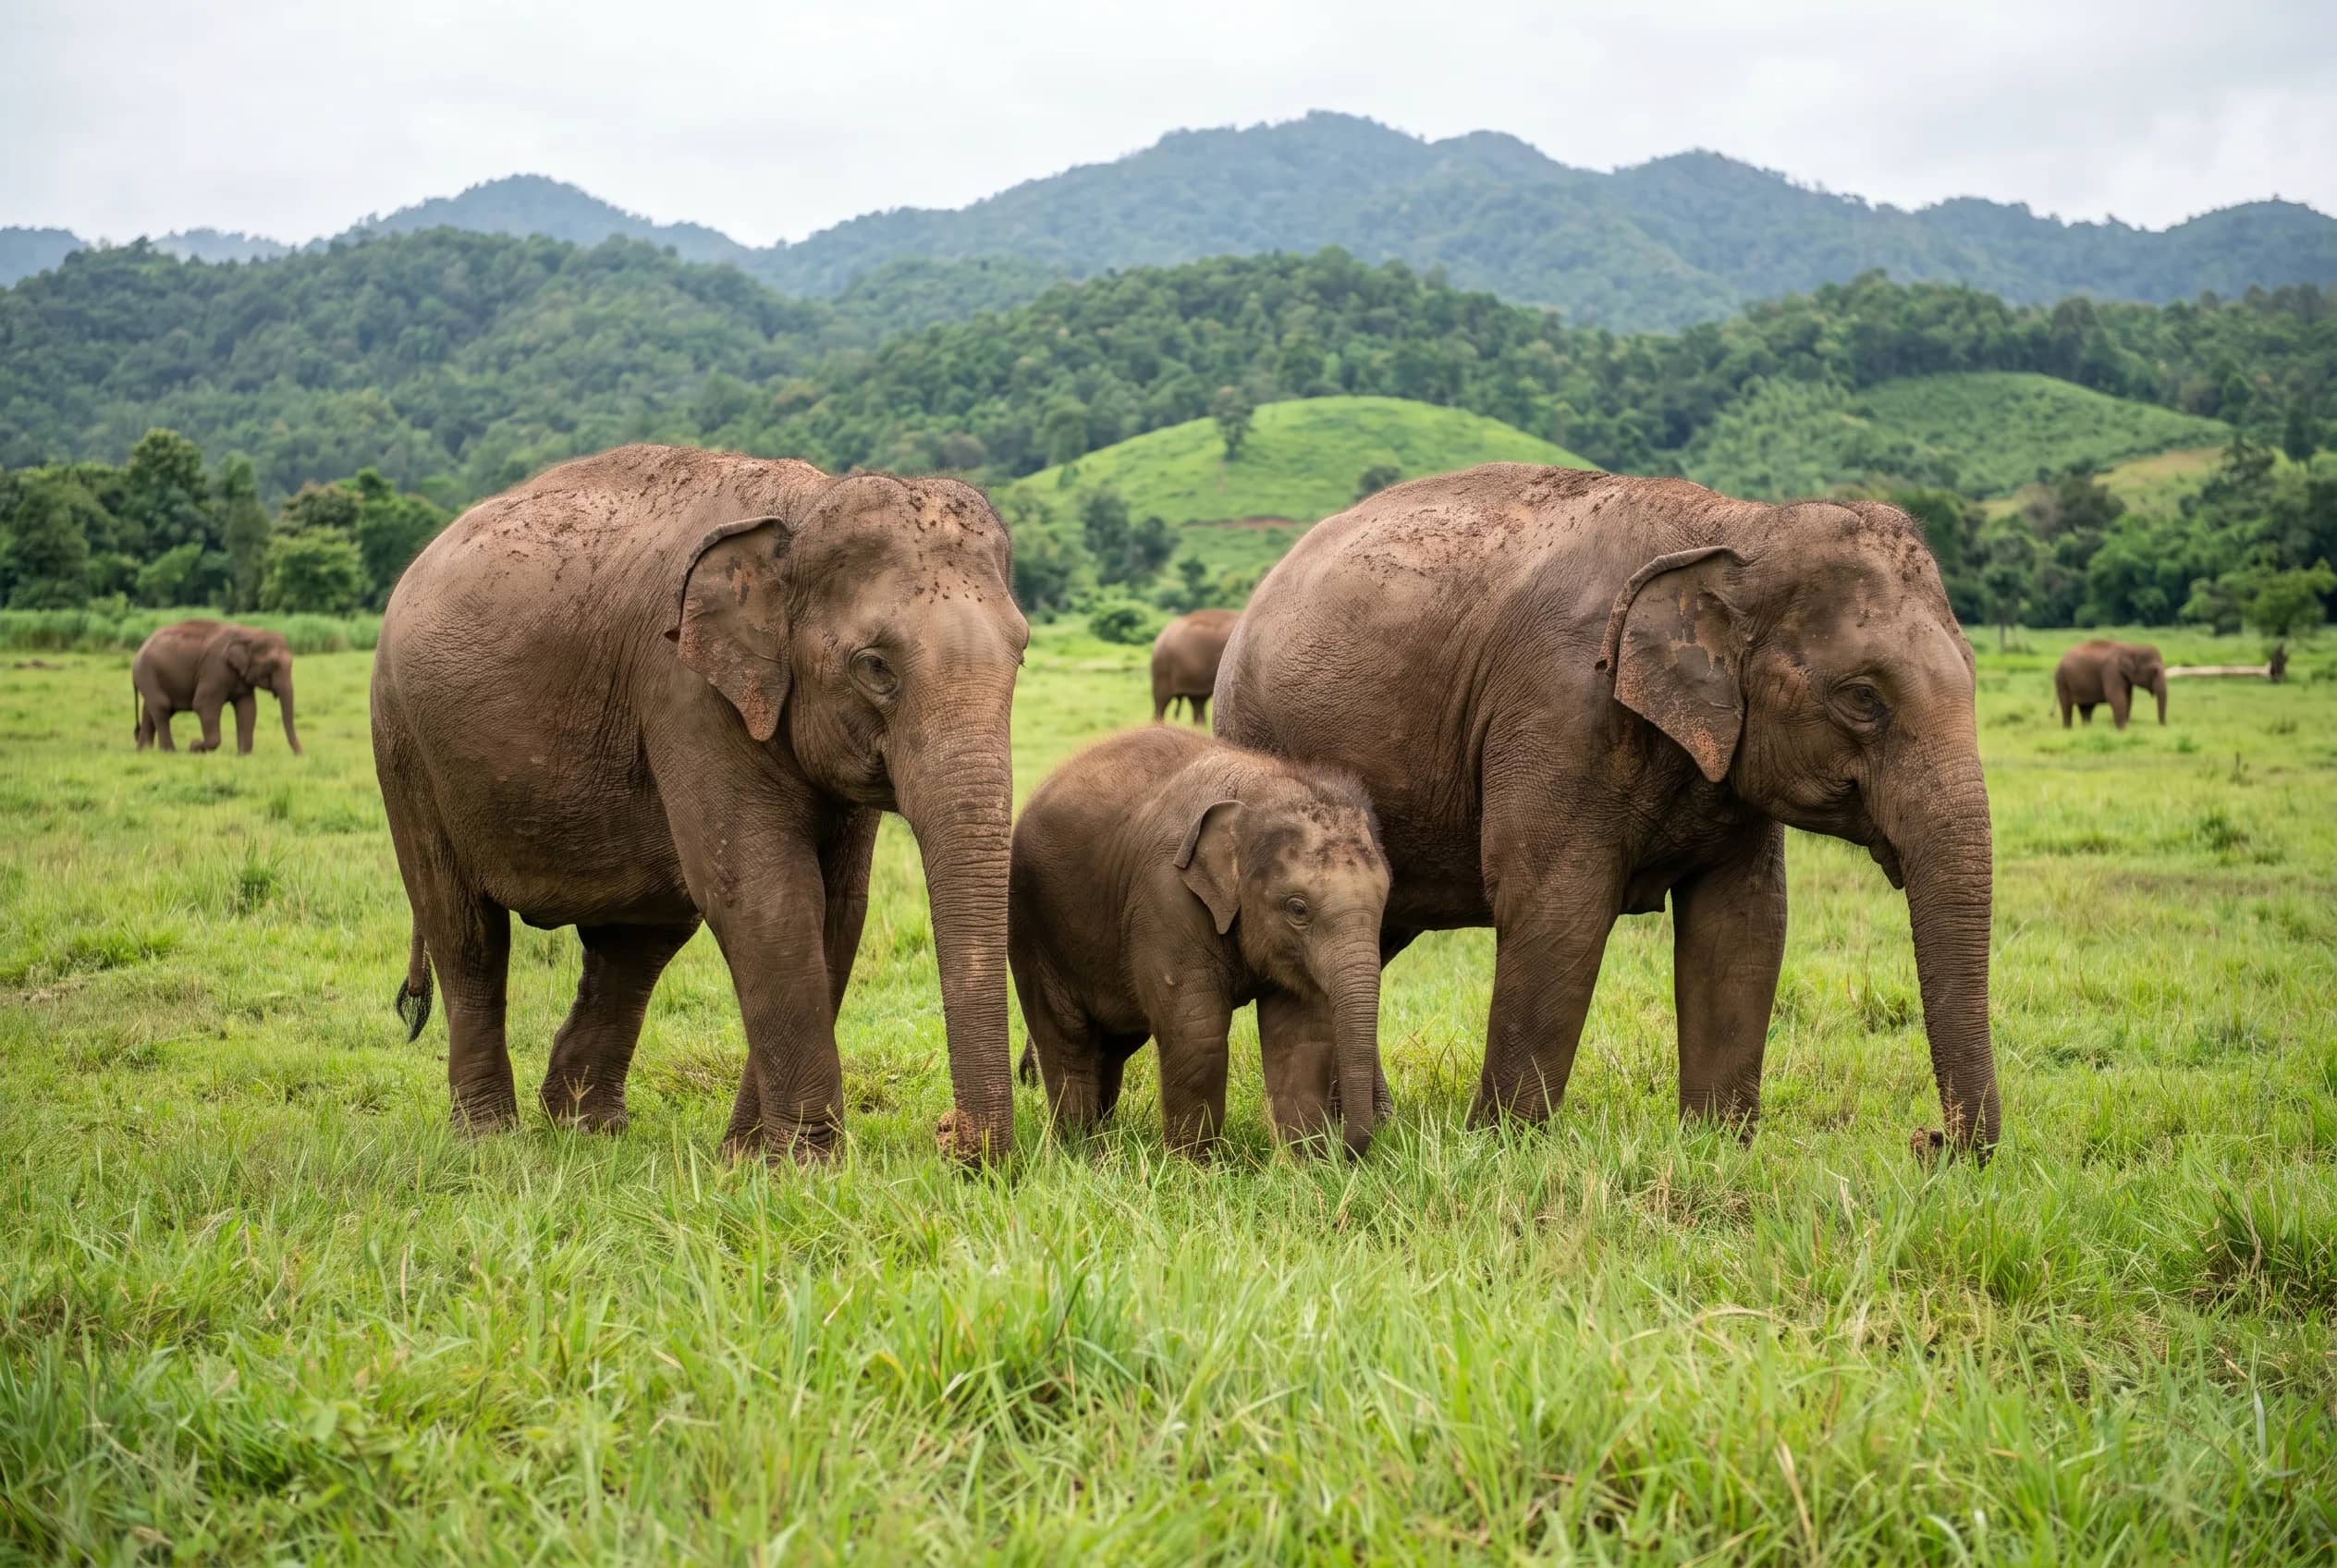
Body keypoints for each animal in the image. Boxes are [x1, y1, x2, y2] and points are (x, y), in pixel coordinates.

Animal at [132, 619, 302, 755]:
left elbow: (248, 709)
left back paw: (143, 752)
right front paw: (194, 747)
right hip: (147, 673)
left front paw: (243, 756)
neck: (249, 632)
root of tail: (138, 651)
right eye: (273, 664)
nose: (301, 754)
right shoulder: (215, 669)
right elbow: (203, 704)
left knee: (149, 709)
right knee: (162, 706)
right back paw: (169, 752)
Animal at [371, 444, 1029, 1162]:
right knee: (465, 933)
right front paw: (805, 1166)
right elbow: (766, 895)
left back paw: (586, 1129)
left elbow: (838, 907)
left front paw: (747, 1161)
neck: (804, 509)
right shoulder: (687, 694)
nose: (951, 1139)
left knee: (635, 940)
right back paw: (489, 1140)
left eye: (1021, 653)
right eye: (875, 666)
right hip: (405, 746)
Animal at [1009, 725, 1392, 1157]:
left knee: (1114, 1042)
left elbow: (1302, 1034)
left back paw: (1099, 1141)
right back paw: (1076, 1147)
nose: (1347, 1149)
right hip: (1033, 931)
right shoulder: (1166, 896)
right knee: (1067, 1039)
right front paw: (1192, 1166)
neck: (1258, 787)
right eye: (1298, 909)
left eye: (1385, 901)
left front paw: (1306, 1164)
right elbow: (1196, 1032)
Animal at [1215, 464, 2000, 1158]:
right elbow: (1558, 910)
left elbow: (1743, 927)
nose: (1930, 1142)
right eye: (1863, 698)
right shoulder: (1561, 711)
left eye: (1973, 672)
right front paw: (1503, 1152)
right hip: (1265, 739)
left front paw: (1716, 1151)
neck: (1737, 527)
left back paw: (1372, 1129)